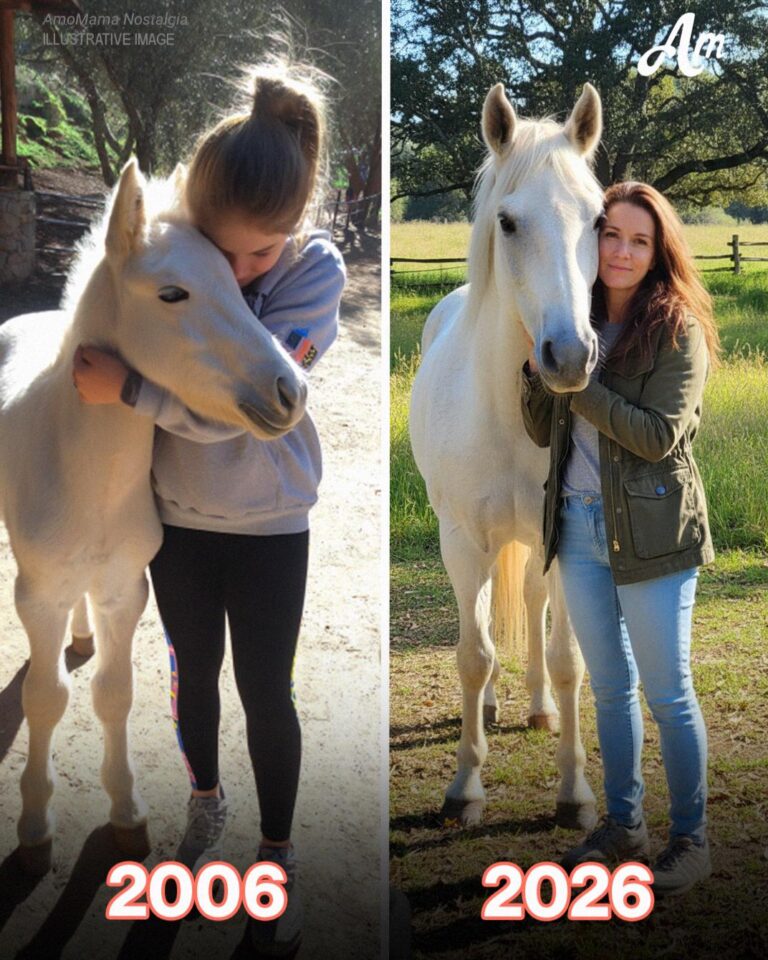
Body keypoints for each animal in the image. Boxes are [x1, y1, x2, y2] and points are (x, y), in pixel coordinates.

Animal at [0, 159, 306, 874]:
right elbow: (45, 699)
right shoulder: (37, 594)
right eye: (172, 294)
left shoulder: (126, 590)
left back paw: (82, 637)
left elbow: (114, 692)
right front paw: (35, 827)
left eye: (235, 281)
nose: (292, 390)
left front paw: (126, 814)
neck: (88, 479)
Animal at [409, 83, 605, 829]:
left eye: (599, 219)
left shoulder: (566, 538)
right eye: (509, 222)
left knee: (531, 604)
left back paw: (539, 709)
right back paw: (492, 710)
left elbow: (568, 657)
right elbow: (473, 655)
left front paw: (575, 793)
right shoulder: (462, 540)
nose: (569, 354)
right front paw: (465, 786)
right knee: (490, 613)